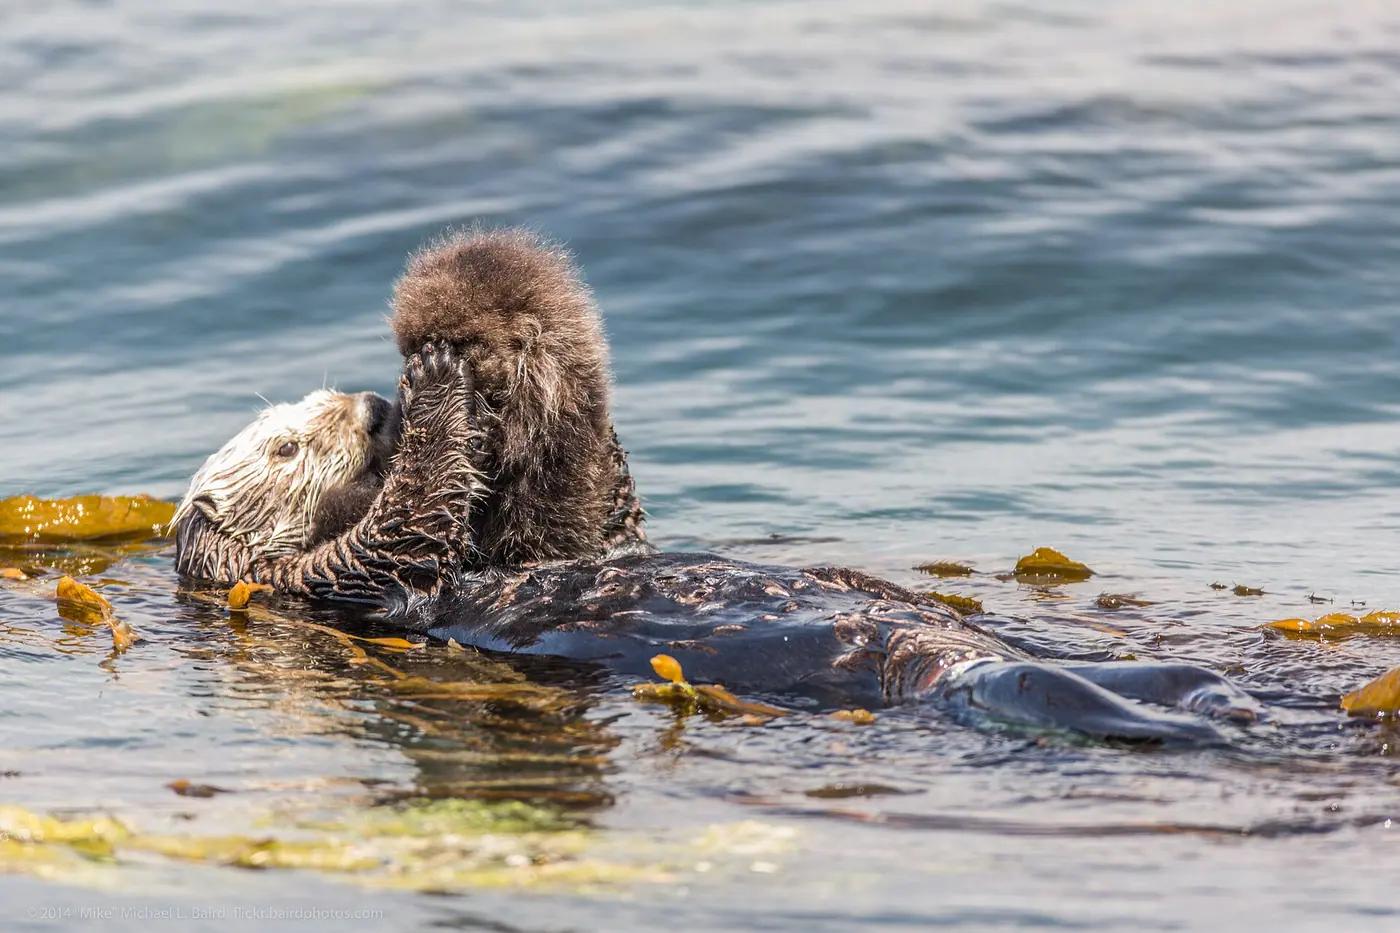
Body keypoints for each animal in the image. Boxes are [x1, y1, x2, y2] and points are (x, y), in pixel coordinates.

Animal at [174, 229, 1260, 741]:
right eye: (284, 447)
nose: (371, 407)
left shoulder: (558, 534)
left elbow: (584, 512)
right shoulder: (334, 578)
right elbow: (414, 516)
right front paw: (436, 375)